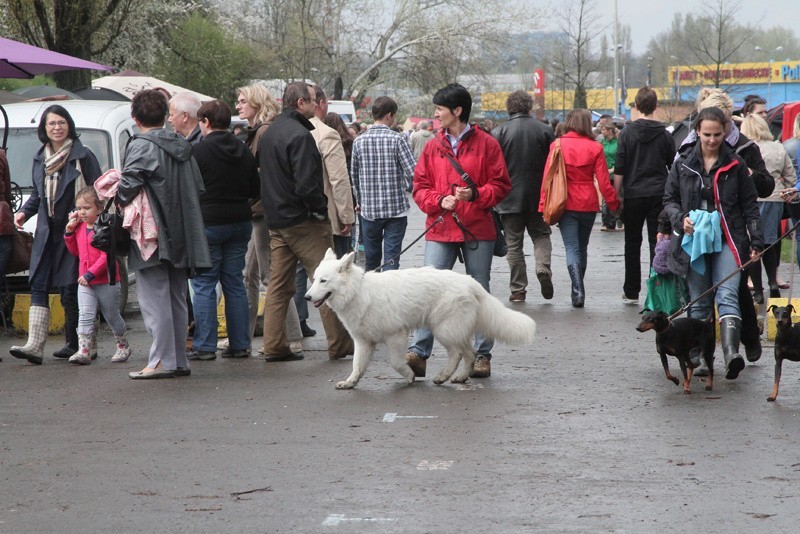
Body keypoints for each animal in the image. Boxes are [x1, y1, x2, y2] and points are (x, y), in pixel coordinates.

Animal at [306, 249, 536, 392]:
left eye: (323, 281)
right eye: (314, 279)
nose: (307, 297)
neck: (356, 291)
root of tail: (471, 282)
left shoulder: (396, 336)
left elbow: (396, 362)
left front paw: (409, 376)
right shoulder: (363, 342)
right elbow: (357, 366)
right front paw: (350, 383)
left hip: (444, 329)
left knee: (461, 353)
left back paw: (445, 376)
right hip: (450, 330)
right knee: (468, 353)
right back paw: (458, 376)